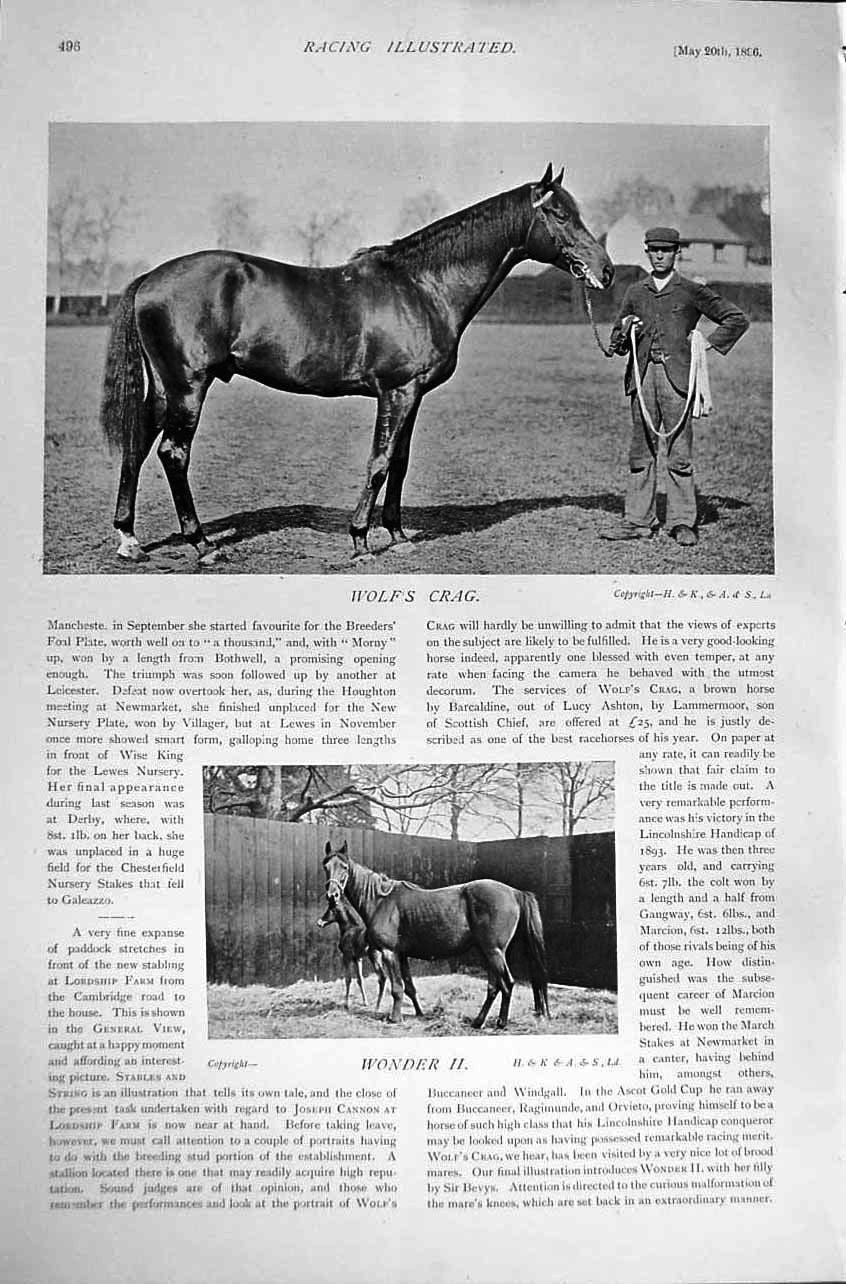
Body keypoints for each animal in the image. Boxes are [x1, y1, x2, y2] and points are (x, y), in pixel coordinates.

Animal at [100, 164, 613, 565]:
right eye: (560, 214)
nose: (606, 270)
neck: (421, 287)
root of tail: (150, 278)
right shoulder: (396, 390)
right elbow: (380, 461)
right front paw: (360, 540)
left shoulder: (413, 394)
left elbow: (400, 462)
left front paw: (399, 536)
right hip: (188, 386)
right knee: (173, 453)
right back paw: (202, 544)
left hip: (164, 388)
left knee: (137, 444)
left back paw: (129, 540)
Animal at [322, 841, 551, 1030]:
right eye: (326, 866)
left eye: (344, 867)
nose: (332, 895)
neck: (381, 900)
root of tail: (514, 892)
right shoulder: (401, 955)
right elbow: (408, 987)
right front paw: (419, 1013)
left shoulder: (389, 953)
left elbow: (396, 987)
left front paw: (395, 1018)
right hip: (488, 953)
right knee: (494, 987)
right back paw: (478, 1021)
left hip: (494, 952)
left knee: (507, 984)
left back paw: (501, 1022)